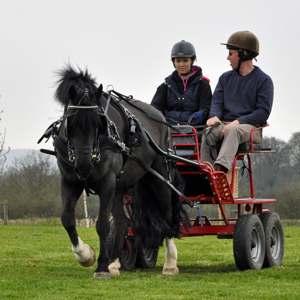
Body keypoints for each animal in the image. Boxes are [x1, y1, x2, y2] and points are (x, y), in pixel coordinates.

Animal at [38, 65, 188, 278]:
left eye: (98, 123)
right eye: (71, 123)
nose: (84, 166)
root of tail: (160, 117)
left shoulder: (106, 182)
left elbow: (102, 224)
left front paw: (100, 267)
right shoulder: (69, 181)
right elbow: (67, 219)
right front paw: (85, 255)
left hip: (159, 179)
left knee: (167, 216)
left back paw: (170, 263)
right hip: (120, 186)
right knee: (122, 223)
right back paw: (115, 261)